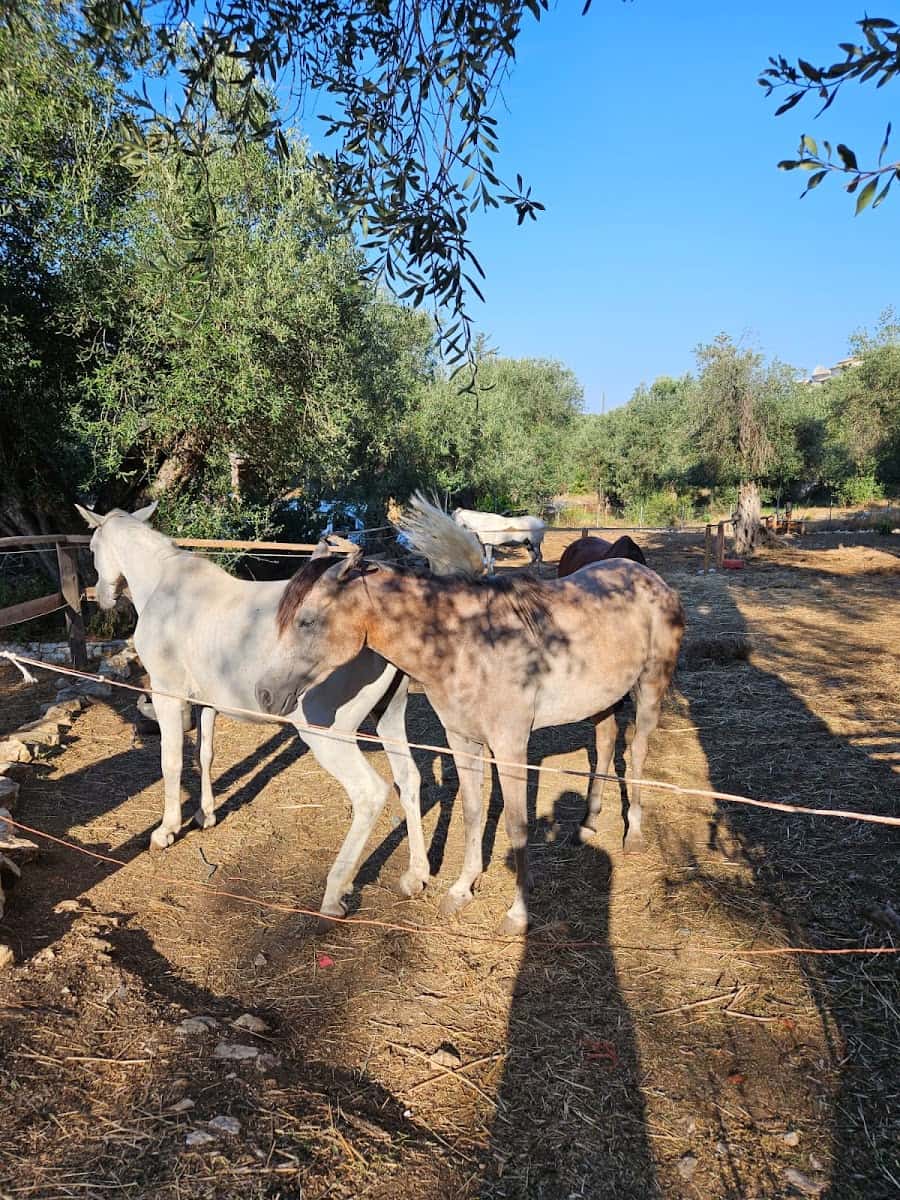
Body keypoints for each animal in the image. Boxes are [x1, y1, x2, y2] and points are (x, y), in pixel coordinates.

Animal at [75, 503, 432, 918]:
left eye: (92, 546)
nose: (103, 598)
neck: (164, 585)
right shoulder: (207, 701)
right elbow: (205, 755)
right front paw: (206, 815)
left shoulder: (168, 695)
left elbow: (172, 761)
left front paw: (166, 831)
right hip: (390, 718)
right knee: (409, 780)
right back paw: (416, 875)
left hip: (328, 735)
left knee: (370, 793)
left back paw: (334, 894)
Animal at [256, 514, 685, 935]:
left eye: (307, 621)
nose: (265, 694)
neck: (464, 645)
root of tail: (649, 576)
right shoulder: (461, 740)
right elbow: (472, 812)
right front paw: (462, 889)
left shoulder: (511, 746)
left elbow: (516, 826)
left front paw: (518, 914)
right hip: (602, 698)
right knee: (606, 741)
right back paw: (587, 825)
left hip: (649, 689)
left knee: (637, 751)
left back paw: (634, 834)